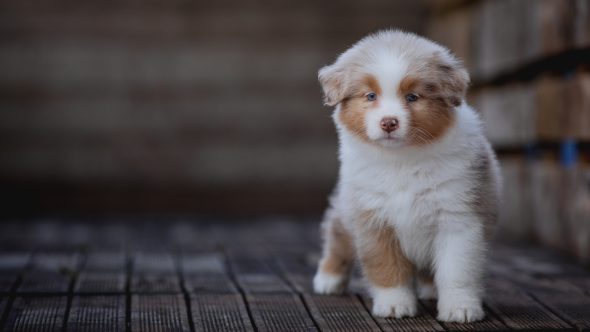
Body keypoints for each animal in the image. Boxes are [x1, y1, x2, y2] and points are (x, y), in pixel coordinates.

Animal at [312, 29, 502, 322]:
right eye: (370, 96)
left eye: (412, 97)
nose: (389, 122)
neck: (401, 159)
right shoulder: (373, 217)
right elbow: (386, 266)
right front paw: (394, 304)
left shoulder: (458, 217)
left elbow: (457, 270)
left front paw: (460, 308)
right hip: (345, 210)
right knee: (337, 236)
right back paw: (328, 279)